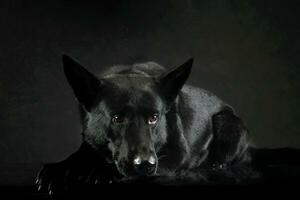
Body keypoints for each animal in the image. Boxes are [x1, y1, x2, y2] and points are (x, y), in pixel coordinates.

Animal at [37, 54, 258, 194]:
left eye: (154, 118)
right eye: (117, 118)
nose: (144, 164)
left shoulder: (176, 154)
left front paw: (103, 171)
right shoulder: (90, 142)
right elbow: (77, 156)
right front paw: (57, 171)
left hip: (227, 122)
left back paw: (217, 162)